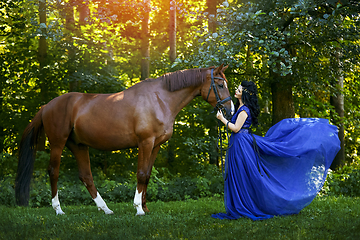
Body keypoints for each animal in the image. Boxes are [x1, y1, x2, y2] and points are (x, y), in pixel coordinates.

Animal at [14, 64, 233, 216]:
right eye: (220, 84)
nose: (230, 110)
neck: (159, 99)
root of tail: (47, 106)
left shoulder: (155, 145)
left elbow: (147, 174)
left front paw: (145, 207)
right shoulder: (145, 142)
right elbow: (141, 174)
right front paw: (138, 208)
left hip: (78, 146)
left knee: (86, 176)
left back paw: (105, 209)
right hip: (58, 144)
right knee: (54, 172)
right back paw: (58, 209)